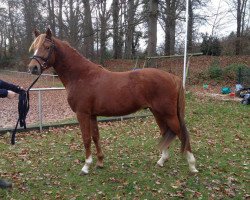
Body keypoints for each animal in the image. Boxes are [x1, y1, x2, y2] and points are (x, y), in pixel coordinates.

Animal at [28, 28, 198, 175]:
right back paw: (162, 161)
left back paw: (192, 166)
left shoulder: (82, 114)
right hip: (158, 113)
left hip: (169, 114)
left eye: (47, 47)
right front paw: (100, 162)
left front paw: (86, 166)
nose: (33, 68)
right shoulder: (92, 115)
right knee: (166, 132)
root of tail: (173, 77)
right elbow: (95, 137)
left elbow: (86, 138)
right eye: (34, 47)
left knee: (182, 134)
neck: (81, 76)